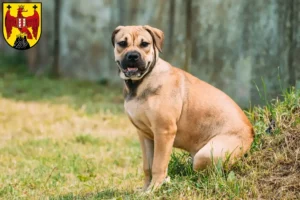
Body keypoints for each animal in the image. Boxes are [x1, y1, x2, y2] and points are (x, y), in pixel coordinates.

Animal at [111, 25, 254, 192]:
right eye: (122, 43)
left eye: (144, 44)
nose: (133, 56)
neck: (141, 83)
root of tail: (251, 131)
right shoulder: (144, 135)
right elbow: (147, 166)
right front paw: (146, 188)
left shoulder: (164, 132)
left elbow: (158, 165)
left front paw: (154, 189)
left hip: (205, 155)